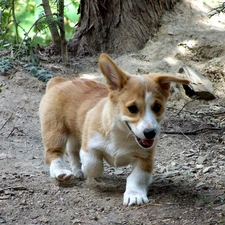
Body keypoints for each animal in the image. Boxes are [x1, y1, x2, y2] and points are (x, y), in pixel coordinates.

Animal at [39, 53, 189, 206]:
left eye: (157, 107)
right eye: (132, 108)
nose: (150, 133)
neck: (121, 134)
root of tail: (60, 80)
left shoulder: (144, 158)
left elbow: (137, 177)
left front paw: (134, 194)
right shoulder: (89, 146)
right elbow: (93, 165)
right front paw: (88, 171)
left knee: (72, 151)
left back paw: (77, 170)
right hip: (55, 131)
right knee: (54, 153)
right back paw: (61, 172)